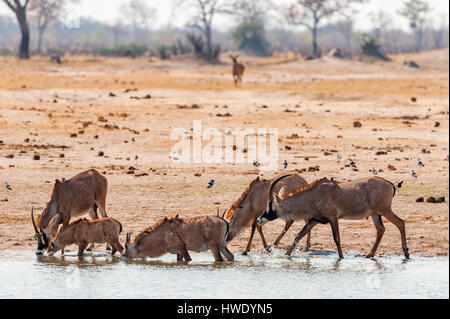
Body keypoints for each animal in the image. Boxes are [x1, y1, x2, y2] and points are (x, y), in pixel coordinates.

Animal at [256, 175, 408, 260]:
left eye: (270, 205)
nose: (258, 220)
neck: (315, 194)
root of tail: (389, 183)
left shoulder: (333, 218)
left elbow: (337, 238)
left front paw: (341, 259)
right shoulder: (314, 221)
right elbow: (298, 236)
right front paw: (286, 255)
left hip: (384, 210)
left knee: (400, 223)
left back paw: (406, 253)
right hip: (375, 214)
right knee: (381, 229)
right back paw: (370, 255)